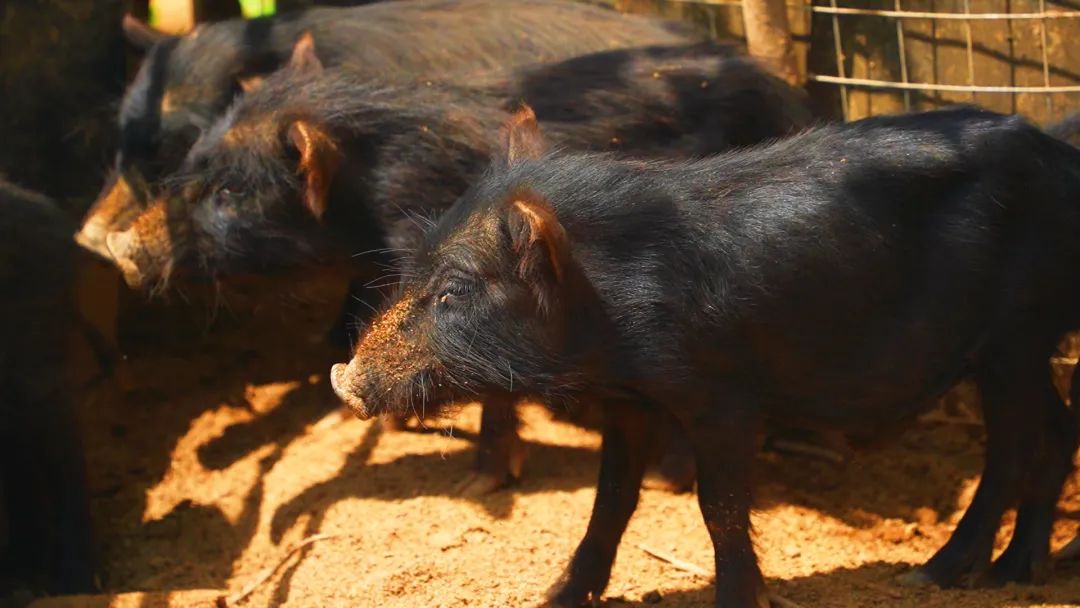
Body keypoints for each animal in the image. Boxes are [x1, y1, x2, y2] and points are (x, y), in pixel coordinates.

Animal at [332, 106, 1080, 604]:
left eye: (453, 291)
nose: (346, 378)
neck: (611, 319)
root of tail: (1059, 155)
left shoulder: (724, 398)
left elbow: (717, 508)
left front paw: (740, 598)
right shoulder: (629, 405)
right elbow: (610, 501)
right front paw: (558, 596)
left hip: (1014, 338)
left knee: (1012, 447)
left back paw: (933, 572)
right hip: (1028, 344)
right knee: (1057, 427)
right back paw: (1019, 571)